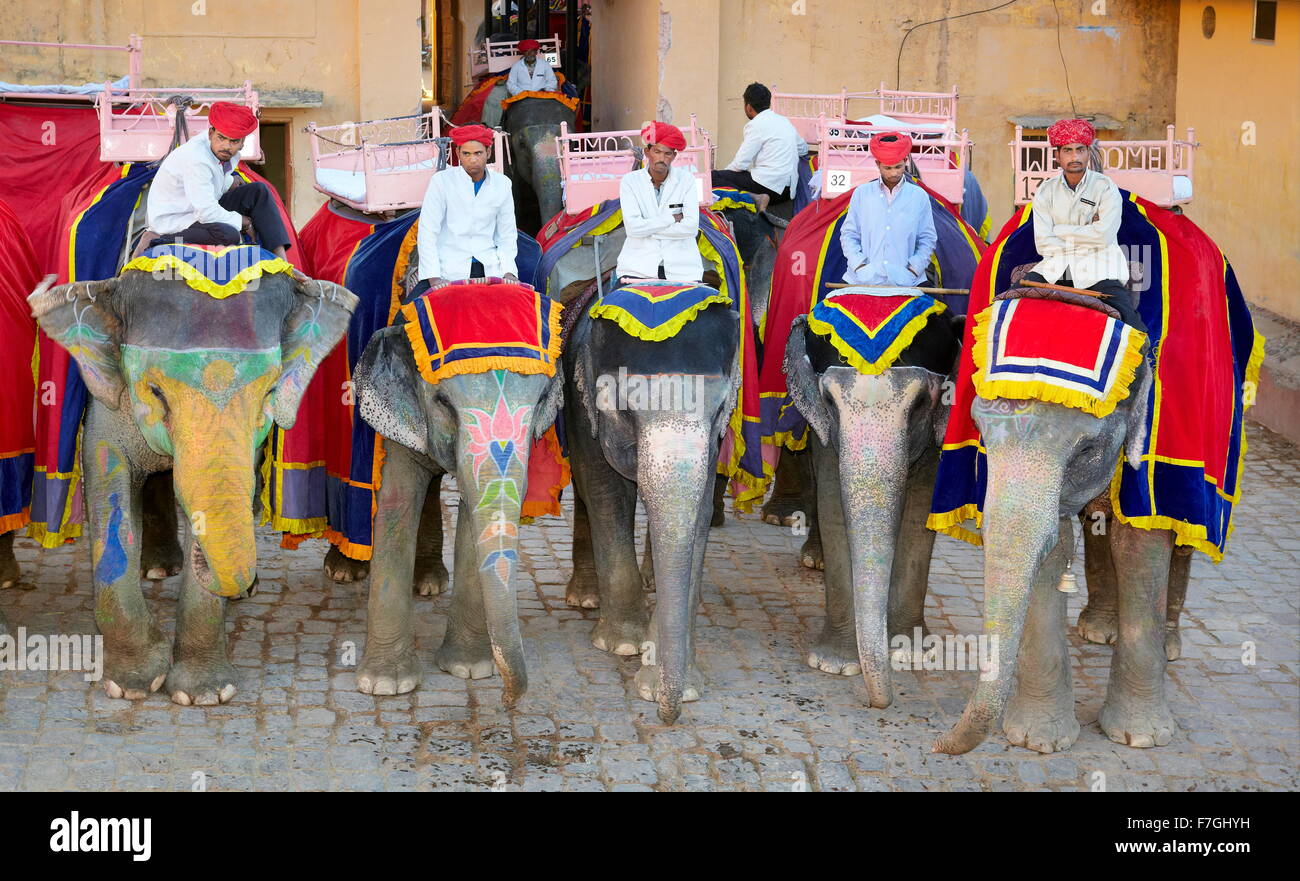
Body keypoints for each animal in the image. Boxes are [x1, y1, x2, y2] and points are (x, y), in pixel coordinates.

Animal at [29, 252, 356, 706]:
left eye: (270, 390)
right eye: (154, 391)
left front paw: (203, 693)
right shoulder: (109, 398)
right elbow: (106, 474)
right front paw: (133, 683)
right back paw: (159, 568)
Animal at [348, 283, 566, 701]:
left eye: (539, 403)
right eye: (443, 402)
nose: (507, 699)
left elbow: (472, 513)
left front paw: (470, 669)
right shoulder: (400, 413)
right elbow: (397, 503)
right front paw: (386, 685)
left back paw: (429, 582)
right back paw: (344, 572)